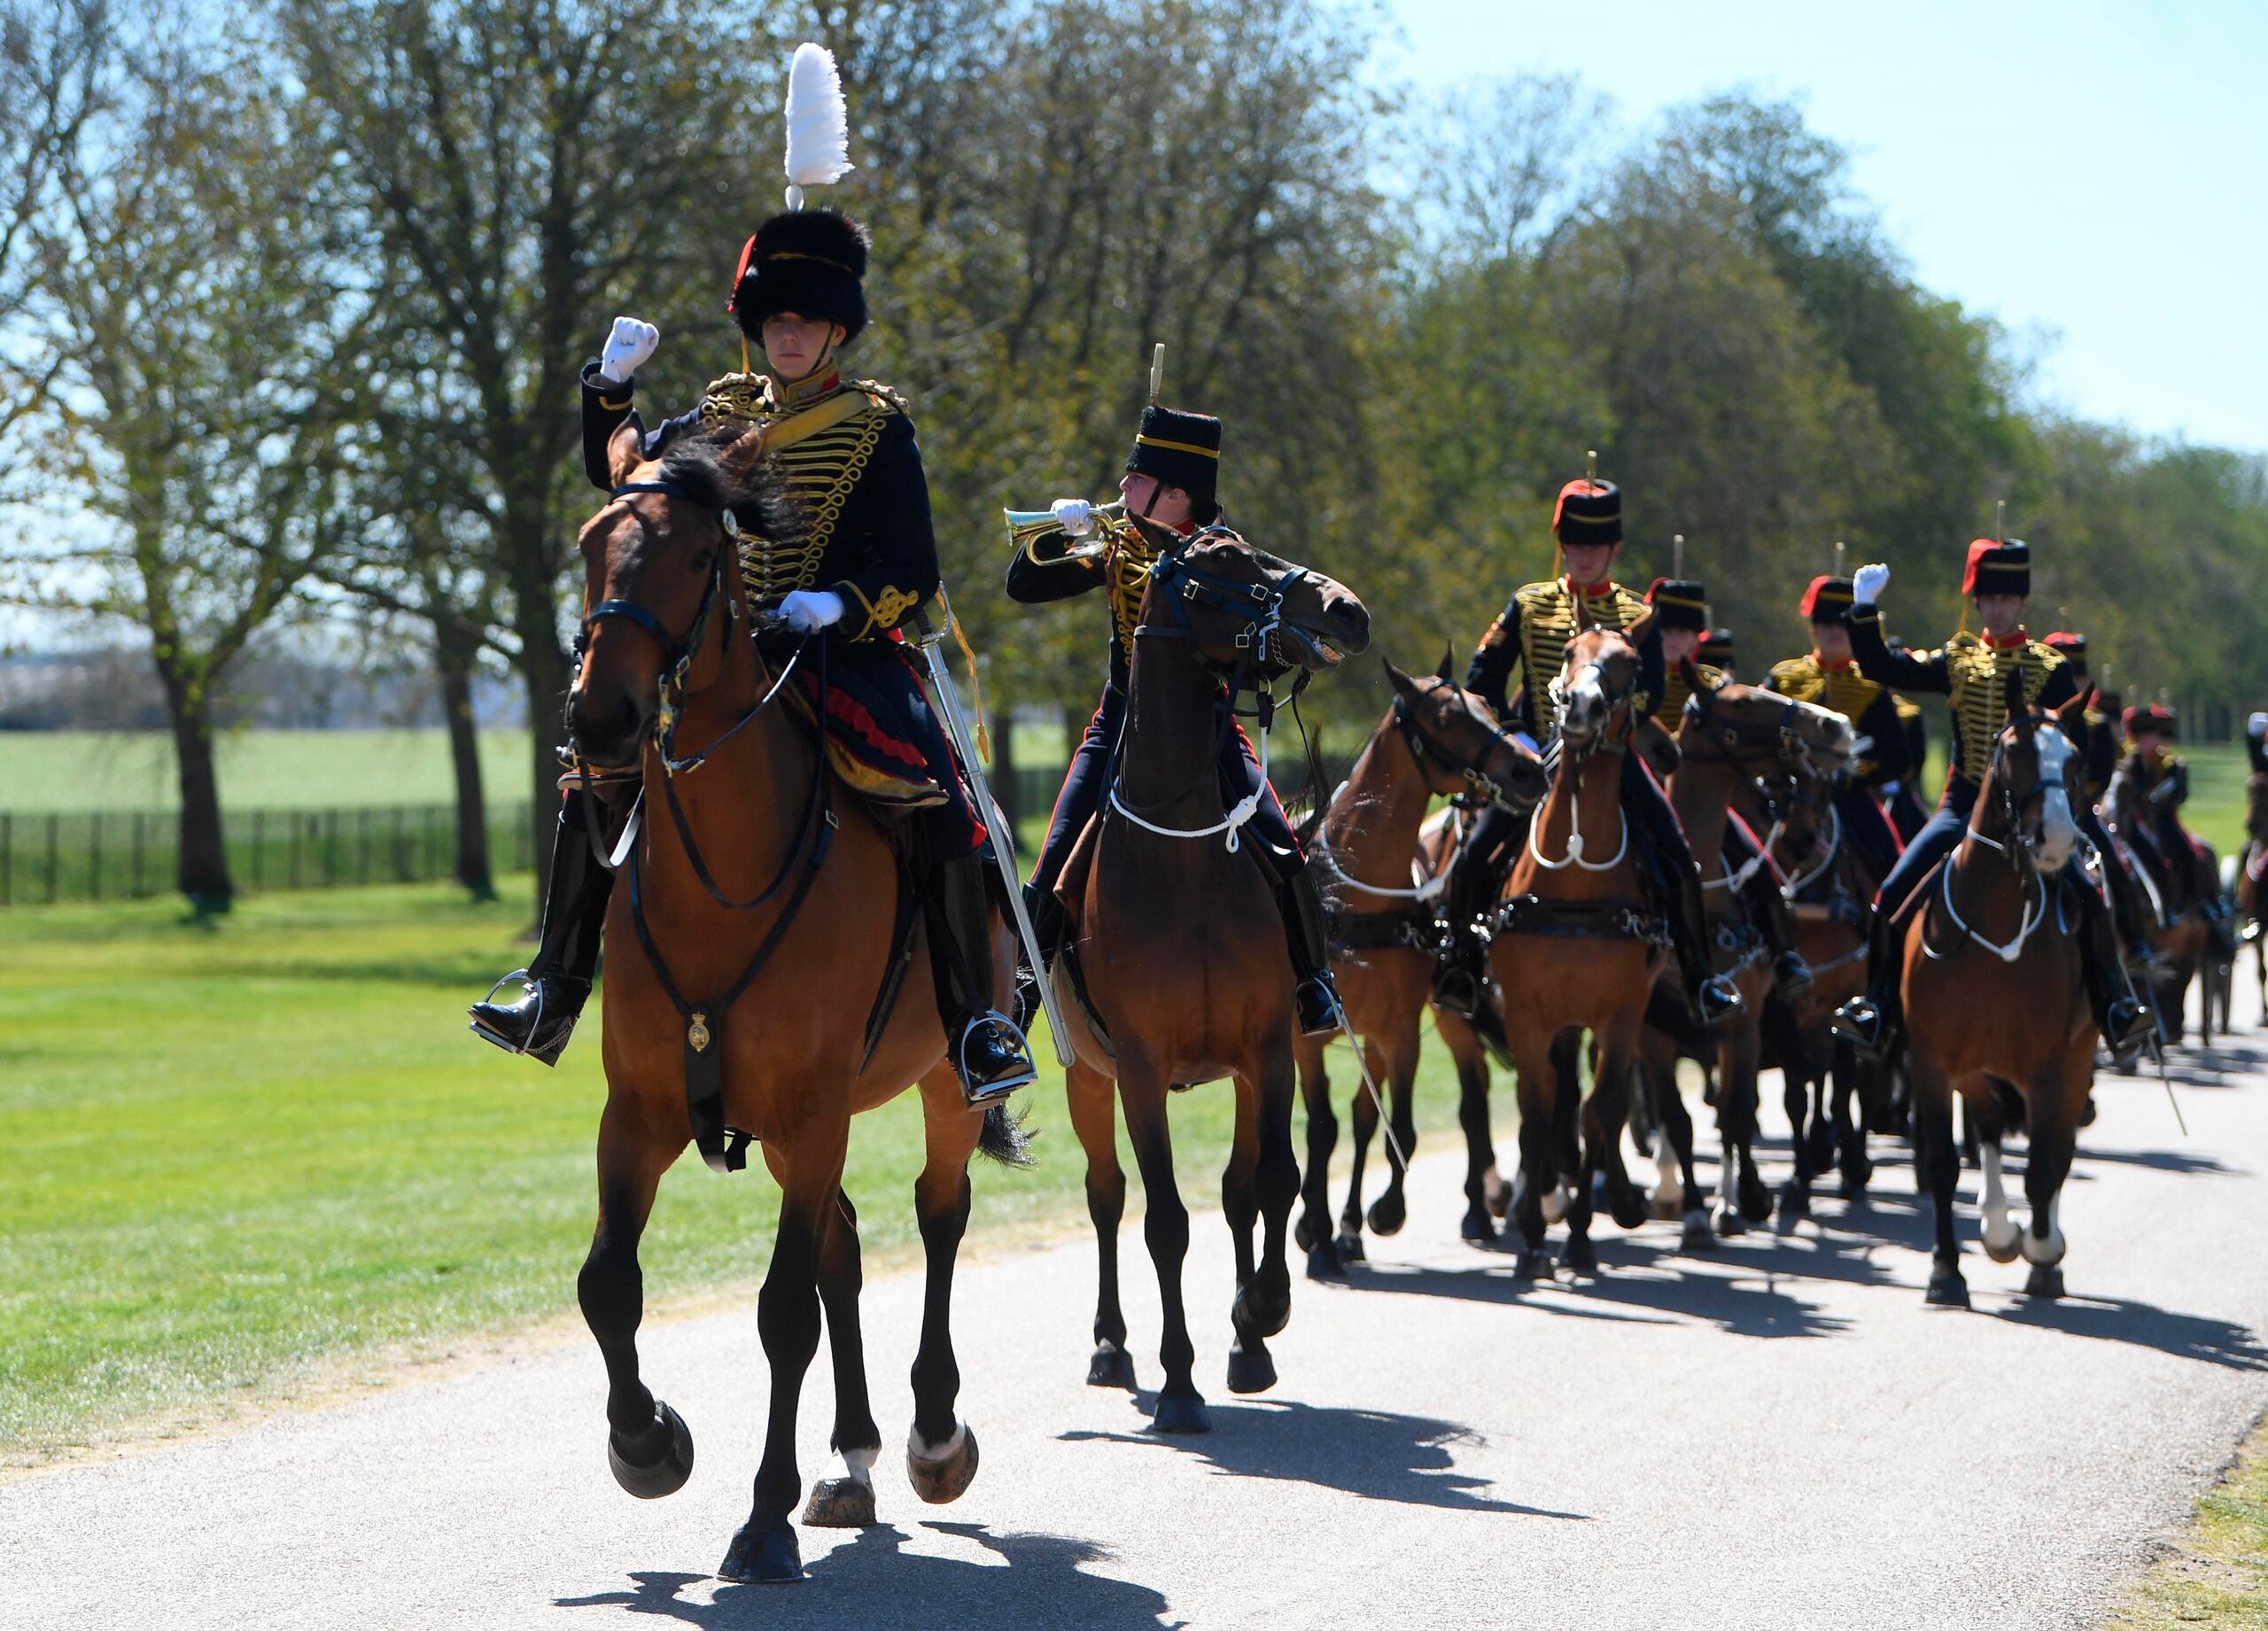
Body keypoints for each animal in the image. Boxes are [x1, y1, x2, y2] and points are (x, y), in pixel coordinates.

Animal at [567, 422, 1029, 1579]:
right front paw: (646, 1443)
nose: (600, 715)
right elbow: (608, 1282)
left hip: (936, 1086)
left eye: (696, 554)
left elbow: (781, 1311)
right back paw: (850, 1457)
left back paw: (930, 1436)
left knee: (936, 1214)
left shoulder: (815, 1110)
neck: (721, 878)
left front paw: (761, 1516)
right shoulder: (639, 1113)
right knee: (846, 1243)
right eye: (591, 542)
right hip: (785, 1133)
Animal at [1056, 524, 1370, 1433]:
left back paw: (1247, 1341)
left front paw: (1258, 1314)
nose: (1348, 609)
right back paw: (1112, 1345)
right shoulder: (1138, 1067)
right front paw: (1179, 1382)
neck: (1184, 855)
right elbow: (1163, 1219)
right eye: (1220, 566)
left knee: (1237, 1192)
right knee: (1106, 1194)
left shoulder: (1265, 1046)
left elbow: (1272, 1182)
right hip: (1086, 1078)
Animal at [1306, 653, 1551, 1279]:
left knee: (1369, 1117)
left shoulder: (1398, 1032)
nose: (1528, 771)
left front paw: (1382, 1213)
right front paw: (1315, 1237)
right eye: (1444, 717)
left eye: (1488, 707)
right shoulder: (1305, 1039)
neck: (1356, 898)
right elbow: (1321, 1129)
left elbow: (1401, 1129)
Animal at [1633, 671, 1860, 1243]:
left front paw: (1742, 1200)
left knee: (1809, 1083)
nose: (1834, 725)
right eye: (1742, 706)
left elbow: (1739, 1113)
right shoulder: (1652, 1031)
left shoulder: (1746, 1023)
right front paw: (1693, 1209)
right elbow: (1678, 1119)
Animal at [1905, 680, 2095, 1306]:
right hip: (1973, 1069)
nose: (2057, 839)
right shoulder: (1932, 1063)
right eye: (2013, 751)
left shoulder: (2048, 1067)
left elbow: (2043, 1167)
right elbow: (1944, 1164)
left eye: (2076, 760)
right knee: (1988, 1128)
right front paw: (1945, 1270)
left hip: (2077, 1059)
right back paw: (1996, 1228)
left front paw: (2043, 1251)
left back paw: (2038, 1245)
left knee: (2058, 1150)